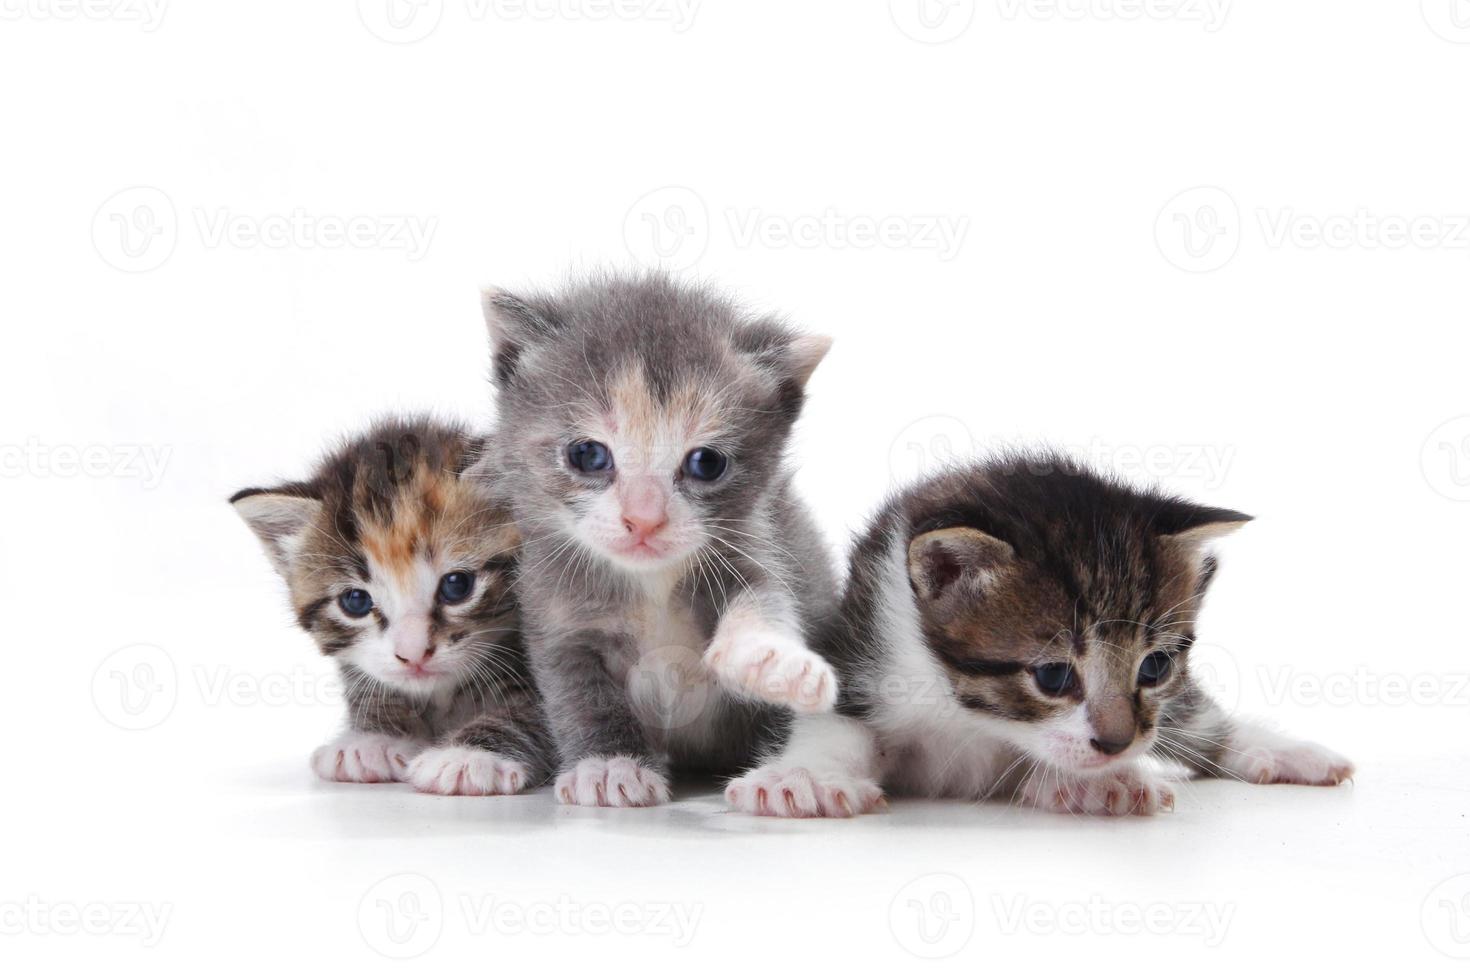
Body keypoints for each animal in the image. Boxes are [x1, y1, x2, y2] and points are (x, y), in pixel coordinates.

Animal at [482, 271, 840, 811]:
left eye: (706, 462)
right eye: (587, 454)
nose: (644, 519)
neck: (650, 583)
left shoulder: (754, 546)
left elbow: (764, 598)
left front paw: (768, 658)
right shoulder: (556, 615)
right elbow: (580, 693)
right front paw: (610, 764)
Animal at [729, 455, 1358, 822]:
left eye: (1153, 667)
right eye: (1053, 675)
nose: (1117, 744)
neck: (968, 713)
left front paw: (1099, 782)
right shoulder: (862, 646)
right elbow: (833, 724)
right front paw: (803, 779)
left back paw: (1289, 754)